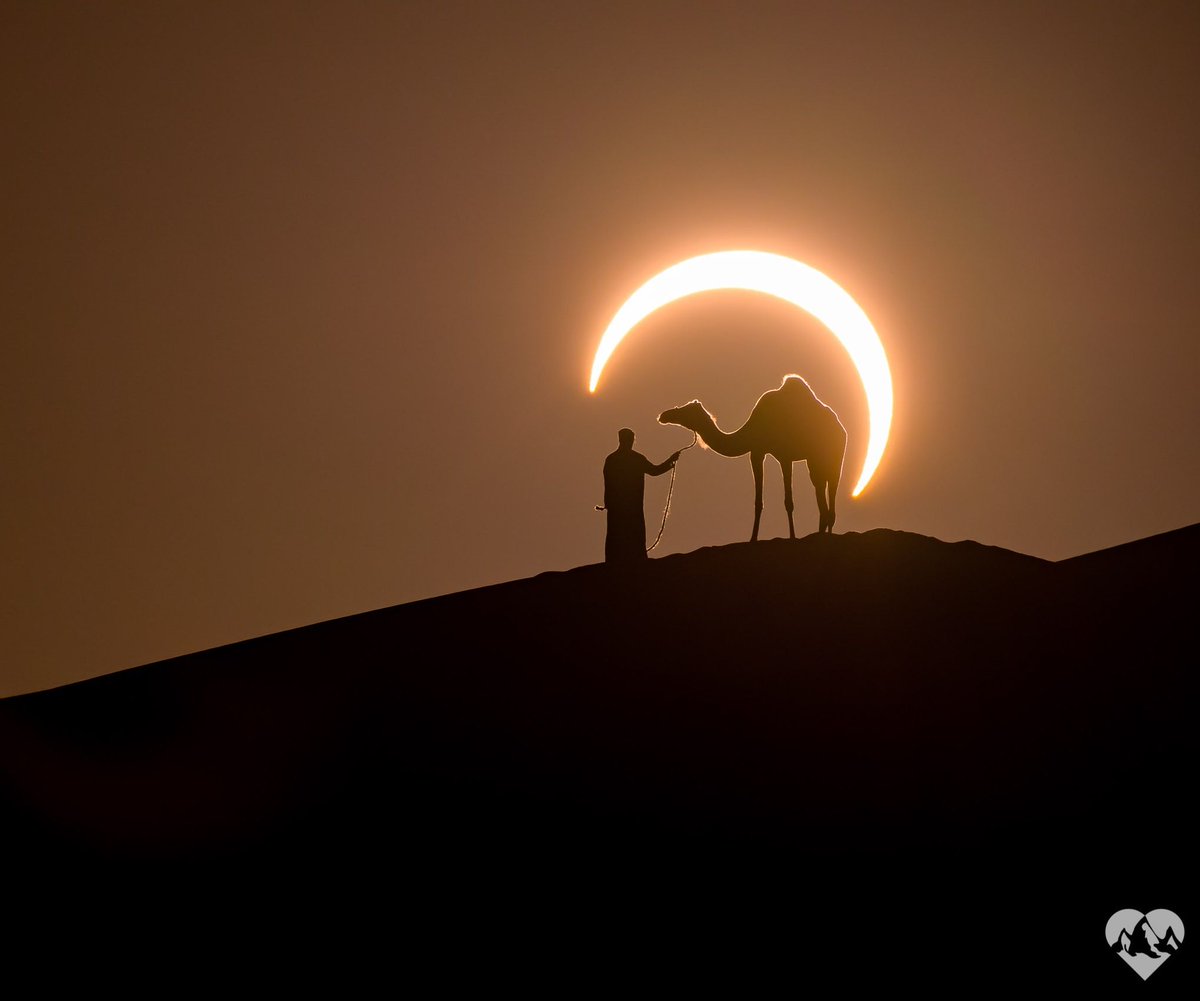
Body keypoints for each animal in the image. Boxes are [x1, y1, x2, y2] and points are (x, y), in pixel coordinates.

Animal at [662, 374, 849, 542]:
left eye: (686, 410)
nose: (664, 415)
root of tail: (841, 428)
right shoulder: (758, 452)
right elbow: (758, 502)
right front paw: (753, 538)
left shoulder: (784, 456)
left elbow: (788, 501)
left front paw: (792, 537)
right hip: (815, 459)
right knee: (820, 491)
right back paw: (822, 533)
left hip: (834, 455)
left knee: (831, 489)